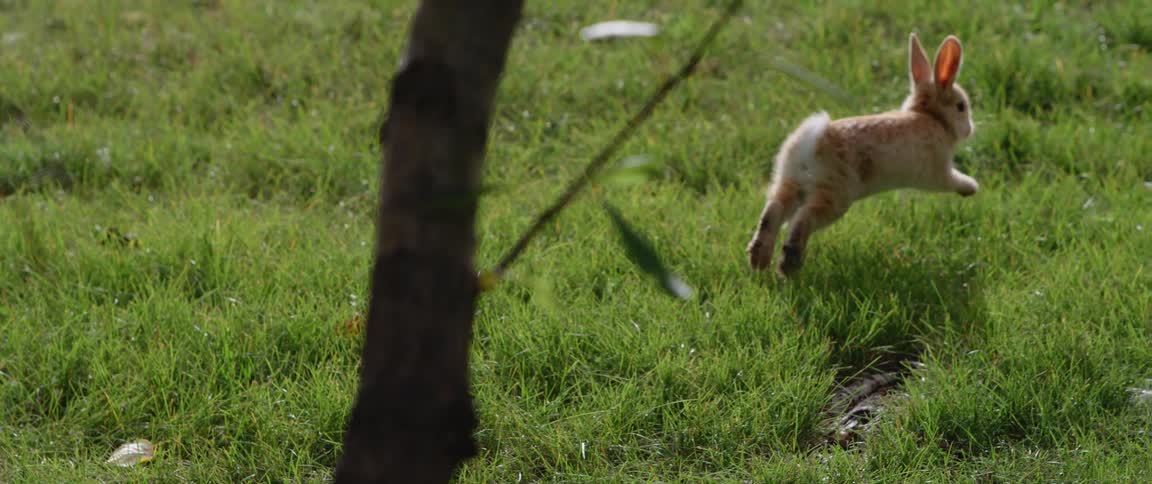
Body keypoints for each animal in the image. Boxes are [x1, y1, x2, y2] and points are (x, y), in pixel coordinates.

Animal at [746, 33, 979, 277]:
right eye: (961, 106)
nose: (970, 129)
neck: (932, 117)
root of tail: (814, 139)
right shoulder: (939, 172)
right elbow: (953, 179)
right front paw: (971, 187)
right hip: (835, 194)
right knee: (802, 220)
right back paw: (788, 266)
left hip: (791, 180)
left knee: (773, 211)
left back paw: (759, 260)